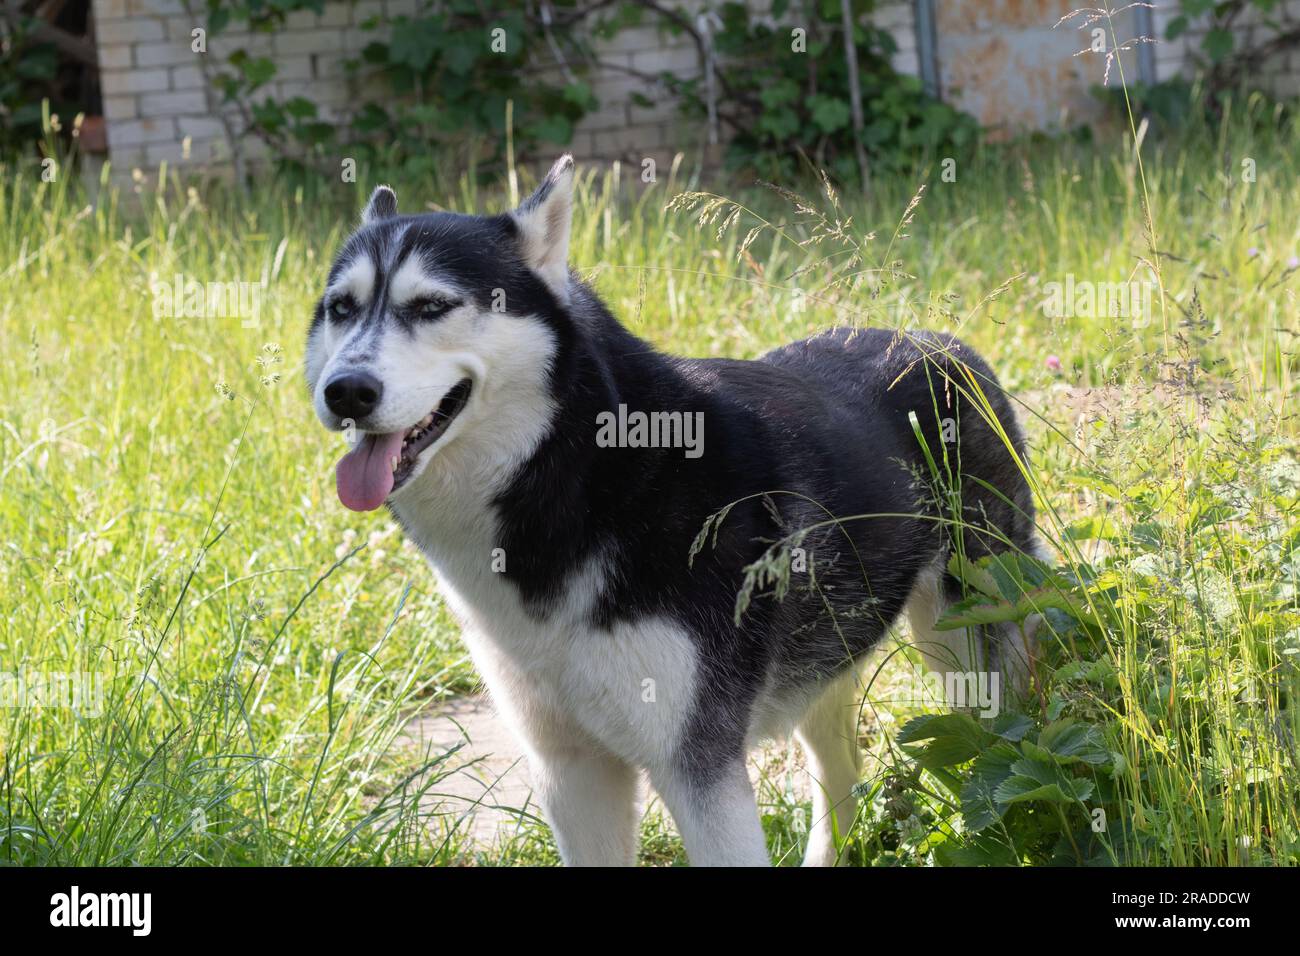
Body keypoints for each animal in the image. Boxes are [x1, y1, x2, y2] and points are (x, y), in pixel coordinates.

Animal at [301, 155, 1034, 868]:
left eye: (432, 306)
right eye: (341, 308)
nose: (347, 391)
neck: (580, 476)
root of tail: (938, 342)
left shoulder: (698, 770)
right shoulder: (570, 770)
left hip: (965, 648)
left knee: (1004, 742)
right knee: (844, 773)